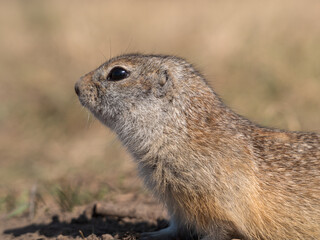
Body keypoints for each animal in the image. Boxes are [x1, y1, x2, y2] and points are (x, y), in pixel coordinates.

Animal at [75, 54, 320, 240]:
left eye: (118, 73)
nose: (76, 86)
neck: (180, 130)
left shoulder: (213, 196)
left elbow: (221, 227)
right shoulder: (175, 200)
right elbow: (177, 226)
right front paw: (149, 234)